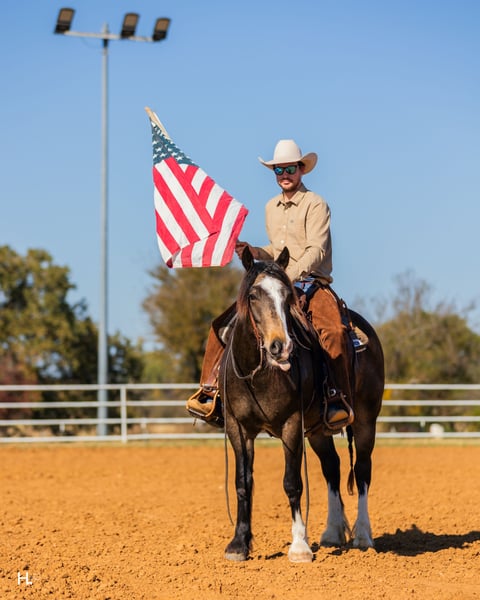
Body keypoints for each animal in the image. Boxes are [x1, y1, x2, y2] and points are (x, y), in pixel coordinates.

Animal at [219, 246, 385, 562]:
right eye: (253, 295)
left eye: (287, 297)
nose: (280, 346)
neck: (259, 373)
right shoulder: (238, 427)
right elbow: (243, 482)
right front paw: (238, 544)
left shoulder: (292, 424)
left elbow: (292, 482)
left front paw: (299, 546)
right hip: (318, 430)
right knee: (332, 468)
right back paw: (332, 533)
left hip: (365, 421)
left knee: (362, 470)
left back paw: (363, 535)